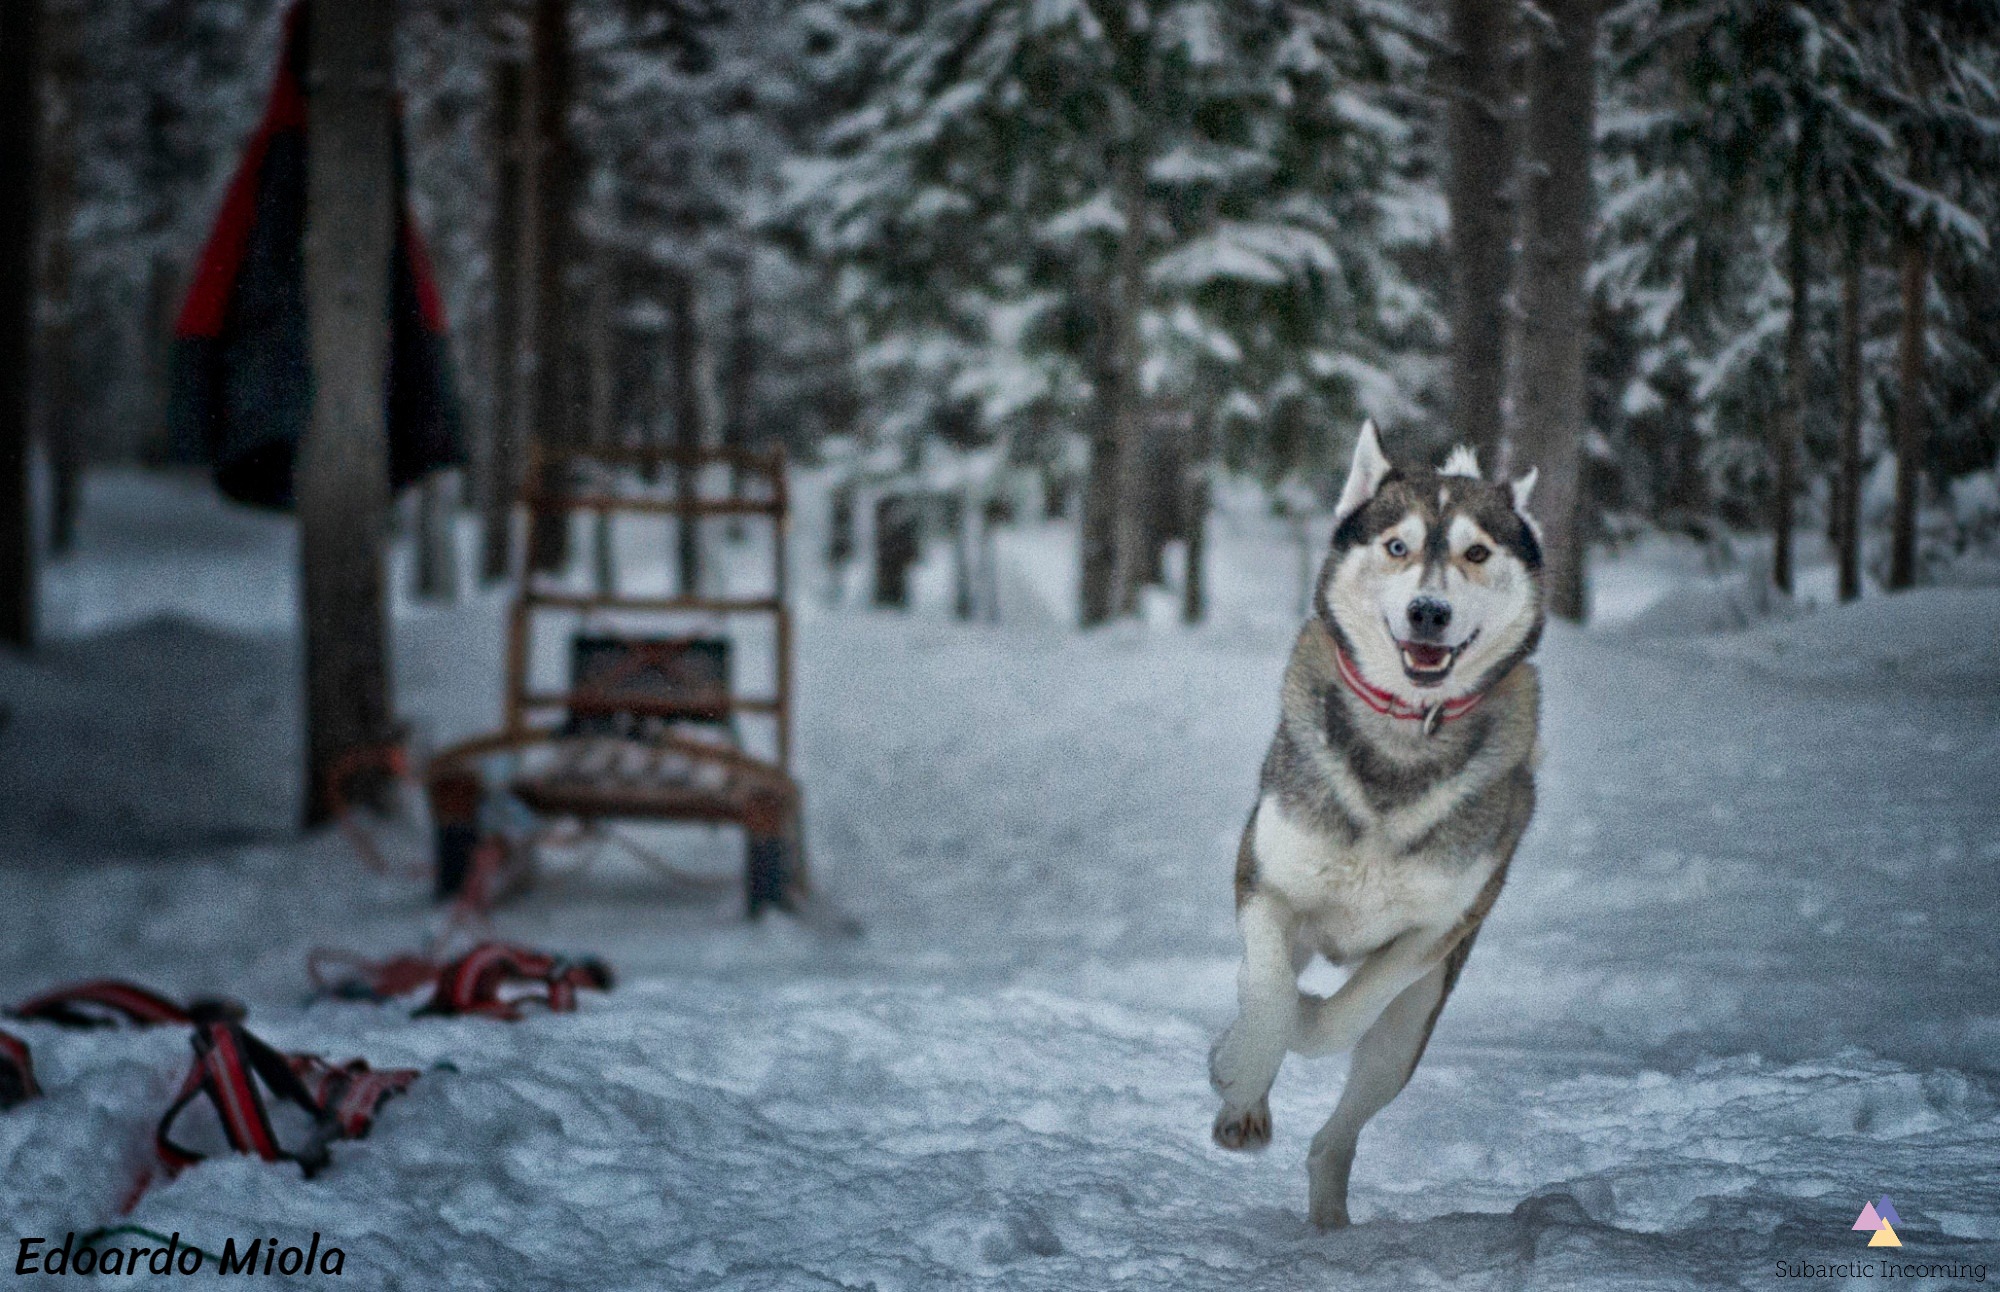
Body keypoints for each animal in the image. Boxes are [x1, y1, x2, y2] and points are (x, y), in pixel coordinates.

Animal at [1200, 426, 1544, 1232]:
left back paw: (1331, 1220)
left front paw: (1303, 1021)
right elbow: (1265, 991)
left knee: (1340, 1131)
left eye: (1477, 551)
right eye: (1396, 545)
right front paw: (1240, 1069)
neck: (1402, 742)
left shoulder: (1437, 929)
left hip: (1411, 1027)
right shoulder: (1267, 879)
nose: (1429, 612)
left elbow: (1338, 1017)